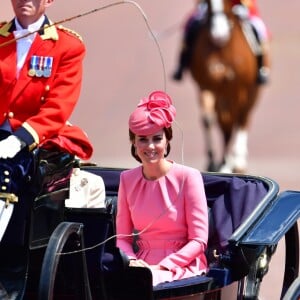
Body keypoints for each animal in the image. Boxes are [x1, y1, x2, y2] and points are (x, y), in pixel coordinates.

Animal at [190, 0, 262, 172]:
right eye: (208, 4)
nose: (219, 34)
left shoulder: (239, 88)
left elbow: (234, 121)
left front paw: (229, 162)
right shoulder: (206, 86)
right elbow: (209, 119)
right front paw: (216, 162)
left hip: (251, 92)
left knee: (242, 119)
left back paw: (238, 161)